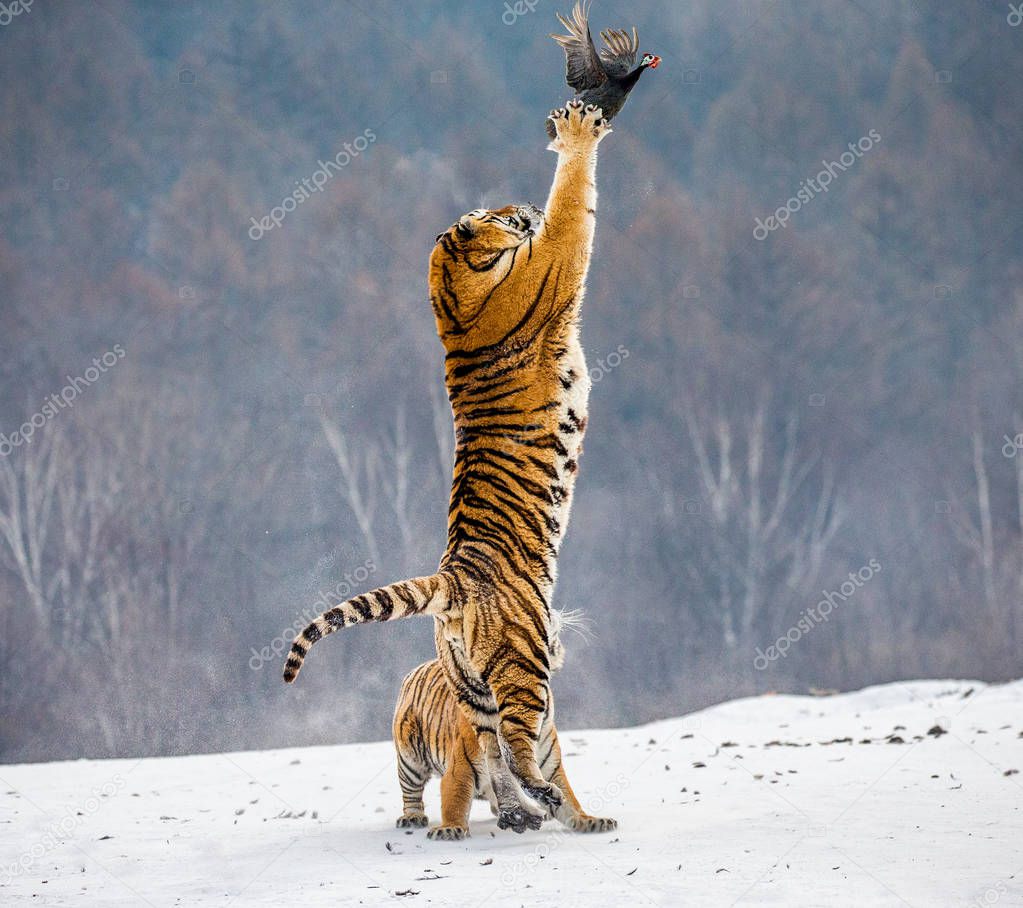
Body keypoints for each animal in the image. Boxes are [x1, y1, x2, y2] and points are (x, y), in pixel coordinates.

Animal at [390, 605, 613, 842]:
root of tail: (415, 671)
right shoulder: (460, 768)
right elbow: (455, 803)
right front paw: (450, 828)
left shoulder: (549, 767)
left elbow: (569, 801)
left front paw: (590, 821)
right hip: (409, 760)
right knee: (411, 792)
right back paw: (412, 818)